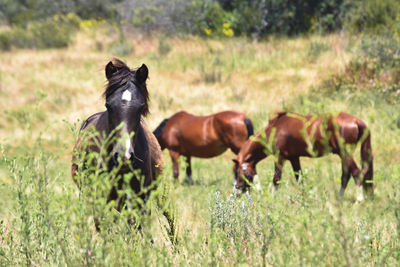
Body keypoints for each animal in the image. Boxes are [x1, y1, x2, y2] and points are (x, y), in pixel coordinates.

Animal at [233, 111, 374, 201]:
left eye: (241, 171)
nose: (237, 192)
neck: (275, 129)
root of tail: (356, 121)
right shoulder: (294, 158)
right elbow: (299, 179)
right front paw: (303, 198)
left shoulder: (280, 157)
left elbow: (276, 179)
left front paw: (272, 199)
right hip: (343, 155)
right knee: (346, 175)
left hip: (345, 153)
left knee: (356, 172)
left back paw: (359, 200)